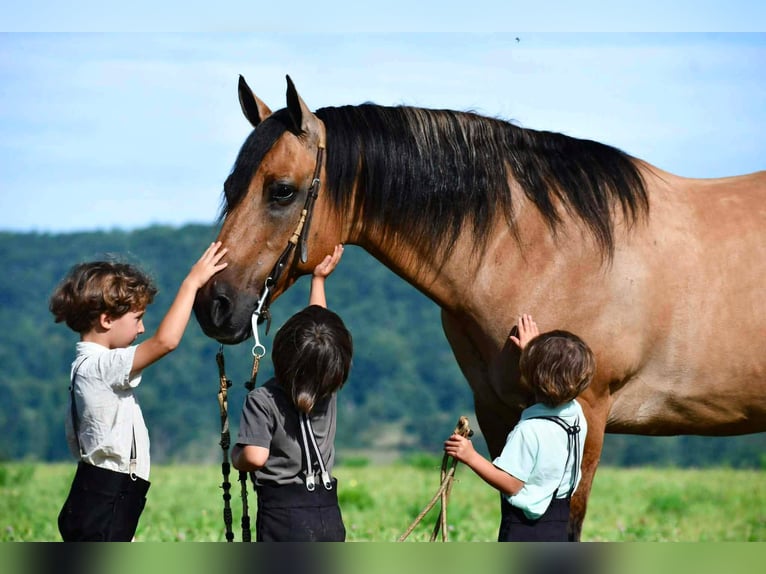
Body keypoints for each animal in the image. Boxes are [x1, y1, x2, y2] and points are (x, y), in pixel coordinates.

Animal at [193, 75, 766, 540]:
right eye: (229, 186)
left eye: (282, 191)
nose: (212, 305)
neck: (542, 248)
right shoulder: (499, 410)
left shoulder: (587, 416)